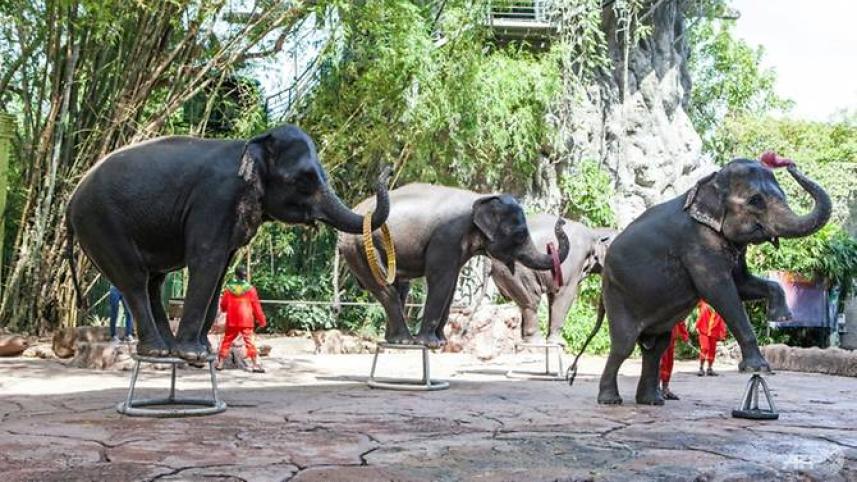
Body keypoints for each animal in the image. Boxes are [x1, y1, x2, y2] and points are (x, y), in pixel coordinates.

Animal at [66, 124, 390, 361]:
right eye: (303, 179)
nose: (384, 171)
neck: (251, 144)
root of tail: (70, 202)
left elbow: (221, 269)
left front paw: (203, 350)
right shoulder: (216, 197)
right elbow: (206, 259)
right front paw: (193, 354)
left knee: (152, 282)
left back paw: (166, 348)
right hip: (102, 224)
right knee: (134, 280)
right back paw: (158, 350)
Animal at [338, 183, 570, 348]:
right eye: (520, 234)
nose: (561, 221)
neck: (481, 197)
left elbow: (451, 284)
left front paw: (442, 341)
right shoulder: (447, 235)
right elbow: (441, 279)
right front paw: (430, 343)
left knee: (398, 287)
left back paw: (394, 340)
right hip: (359, 247)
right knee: (384, 288)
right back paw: (404, 341)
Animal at [490, 213, 616, 345]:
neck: (595, 233)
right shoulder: (572, 261)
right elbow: (565, 293)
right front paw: (558, 343)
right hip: (518, 271)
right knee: (531, 301)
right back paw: (536, 341)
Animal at [586, 157, 830, 405]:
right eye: (755, 200)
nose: (790, 165)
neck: (711, 182)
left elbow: (743, 284)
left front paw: (781, 317)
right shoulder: (697, 243)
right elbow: (719, 290)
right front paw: (759, 368)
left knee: (656, 348)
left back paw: (652, 401)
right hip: (618, 294)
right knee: (623, 346)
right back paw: (610, 400)